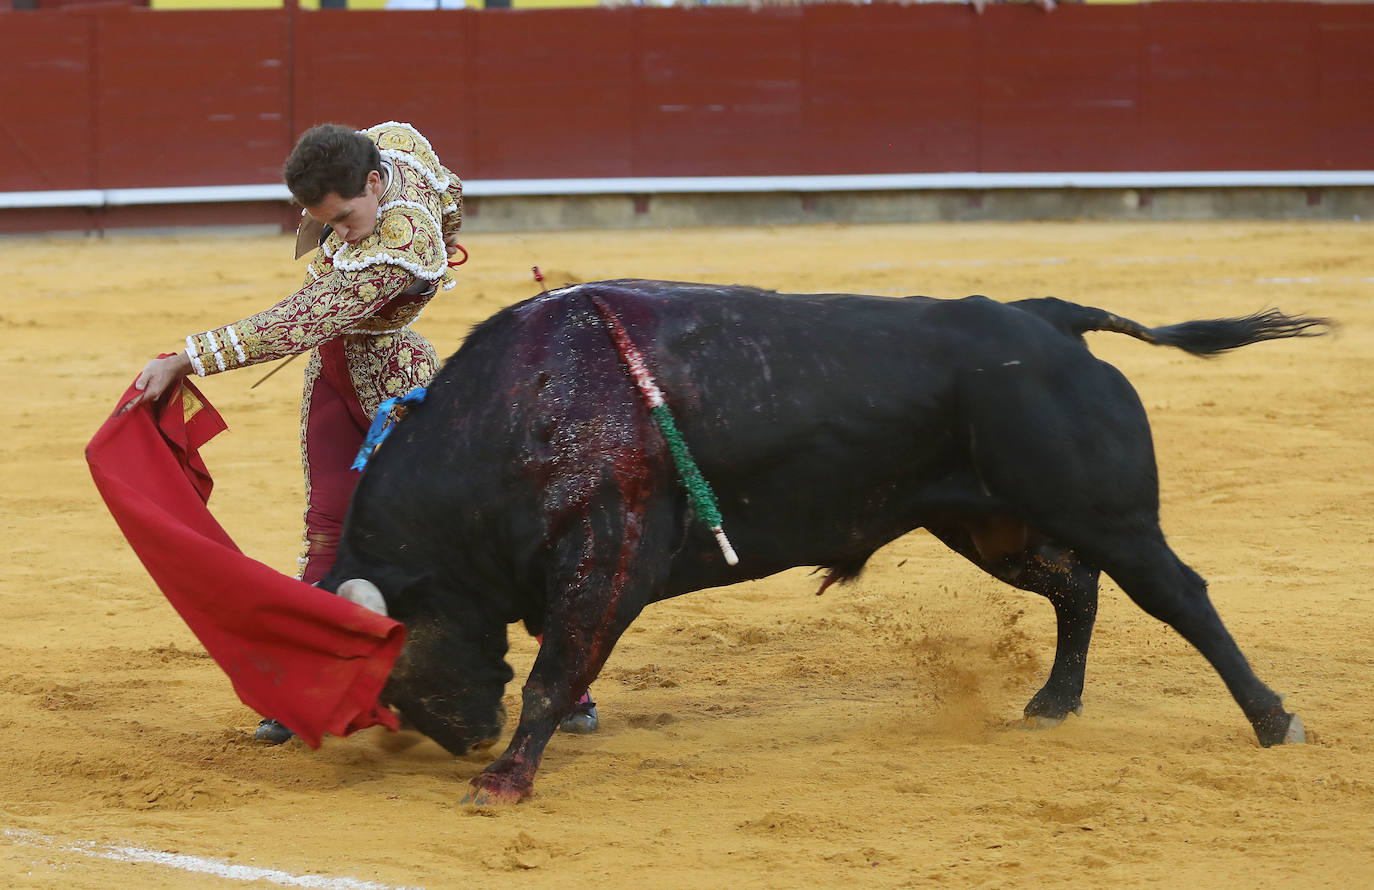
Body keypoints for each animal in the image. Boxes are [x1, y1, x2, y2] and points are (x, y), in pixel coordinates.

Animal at [316, 281, 1324, 802]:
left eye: (390, 665)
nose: (463, 738)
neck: (517, 412)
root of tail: (1043, 318)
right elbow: (559, 669)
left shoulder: (610, 560)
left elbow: (555, 673)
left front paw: (506, 780)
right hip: (985, 522)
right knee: (1076, 589)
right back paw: (1053, 702)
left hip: (1103, 511)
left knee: (1177, 594)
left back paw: (1273, 720)